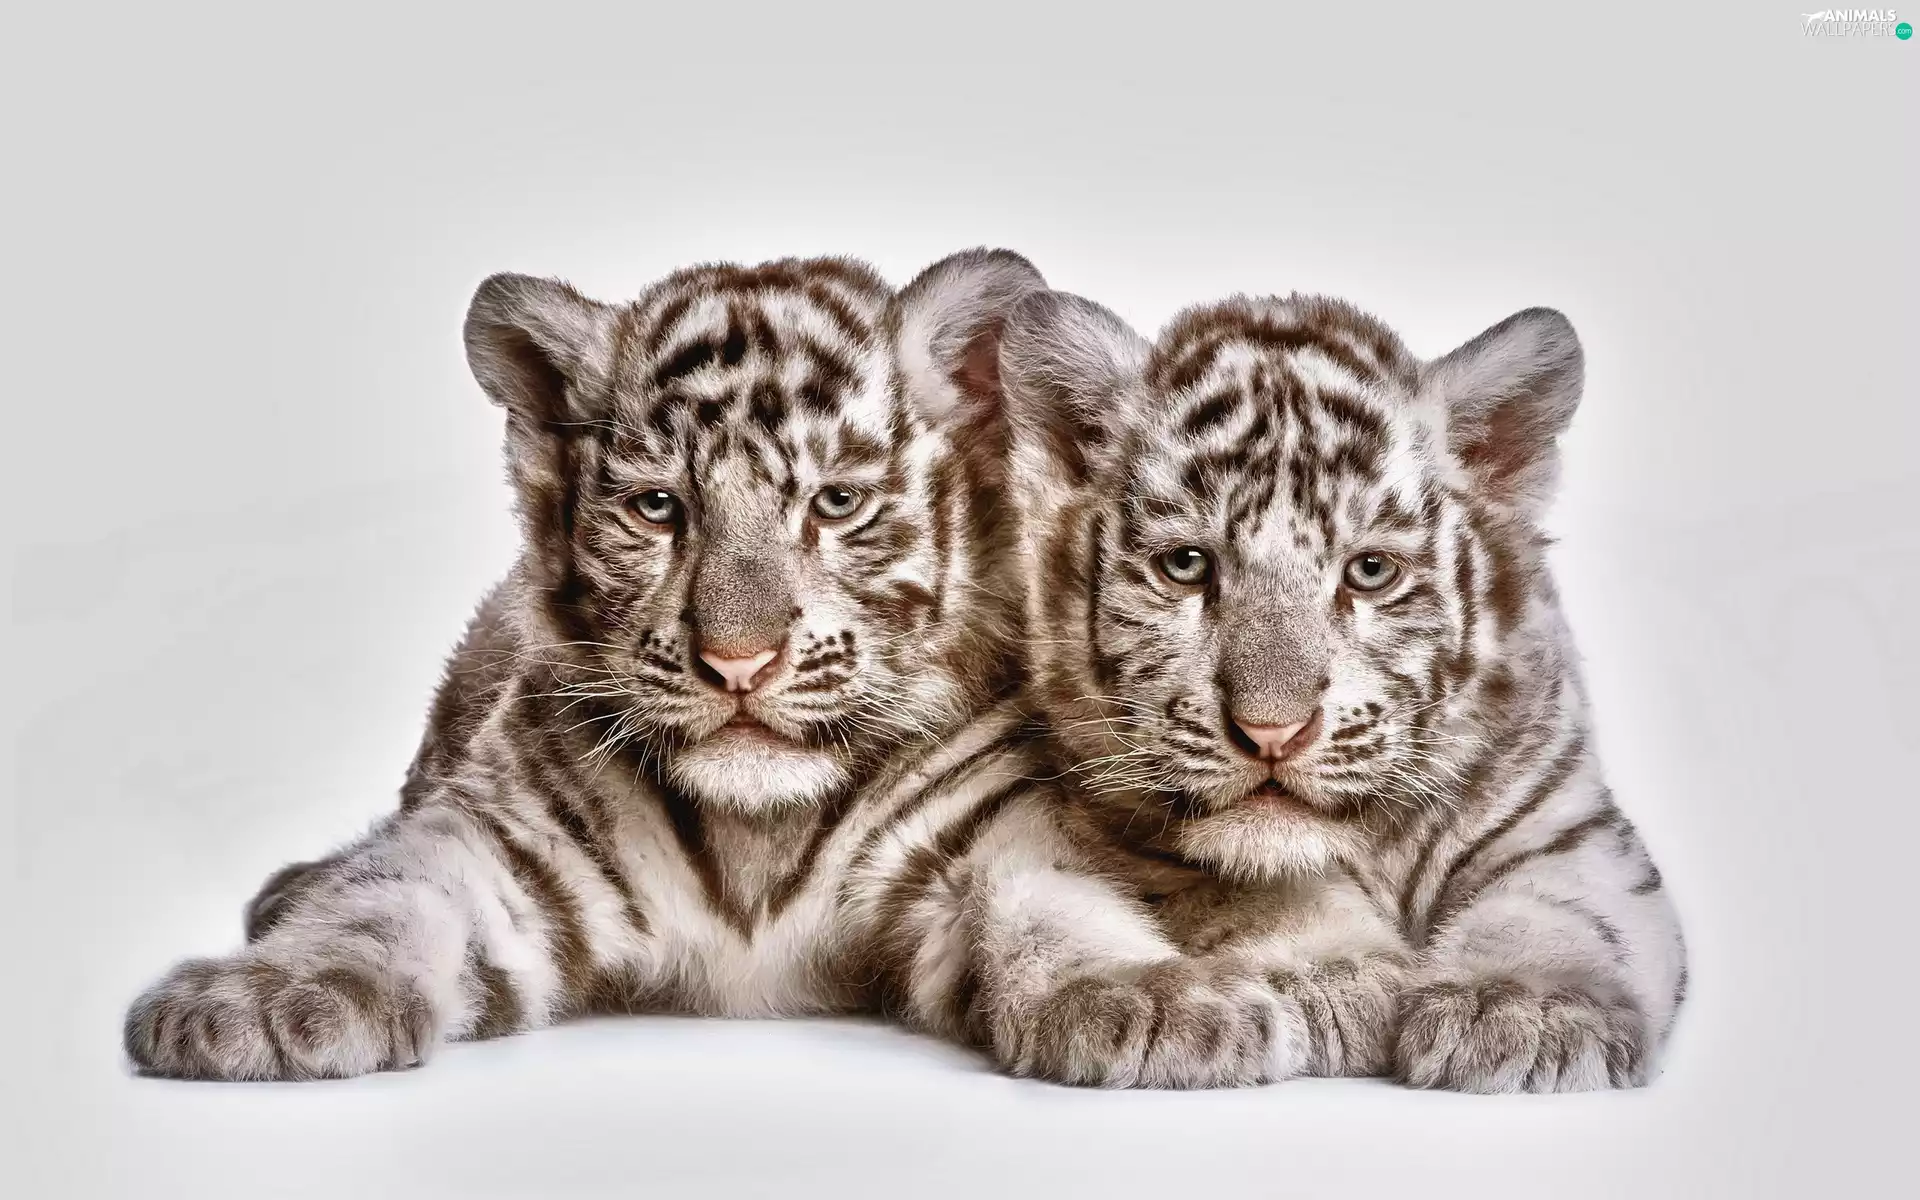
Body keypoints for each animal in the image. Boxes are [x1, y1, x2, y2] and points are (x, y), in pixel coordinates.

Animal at [121, 247, 1052, 1080]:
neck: (755, 835)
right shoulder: (502, 841)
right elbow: (382, 898)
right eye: (658, 508)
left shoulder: (984, 824)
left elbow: (1040, 901)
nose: (738, 663)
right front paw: (259, 1000)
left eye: (838, 503)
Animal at [854, 285, 1687, 1092]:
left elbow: (1565, 910)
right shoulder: (1119, 838)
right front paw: (1335, 980)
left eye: (1370, 571)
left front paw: (1528, 1011)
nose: (1272, 732)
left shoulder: (1571, 825)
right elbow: (1254, 892)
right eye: (1186, 566)